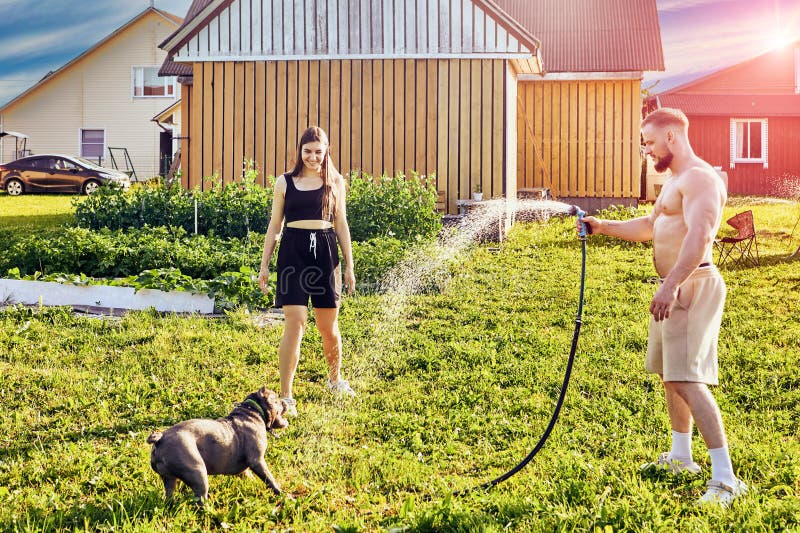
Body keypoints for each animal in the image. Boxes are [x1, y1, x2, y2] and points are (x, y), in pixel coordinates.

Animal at [148, 384, 290, 500]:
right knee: (200, 498)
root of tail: (160, 438)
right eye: (277, 400)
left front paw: (252, 481)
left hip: (169, 479)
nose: (285, 402)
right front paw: (282, 494)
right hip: (197, 472)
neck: (253, 411)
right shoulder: (257, 460)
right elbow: (269, 479)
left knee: (169, 496)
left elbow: (248, 474)